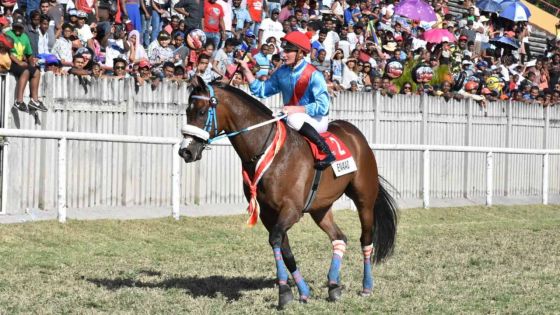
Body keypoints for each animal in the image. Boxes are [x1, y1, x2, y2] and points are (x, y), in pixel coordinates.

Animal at [179, 76, 398, 308]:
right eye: (187, 111)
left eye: (202, 112)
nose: (185, 151)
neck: (269, 152)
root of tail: (355, 133)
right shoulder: (268, 213)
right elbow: (284, 250)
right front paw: (302, 292)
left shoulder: (291, 210)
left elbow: (276, 241)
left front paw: (284, 292)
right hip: (320, 208)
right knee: (339, 238)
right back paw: (333, 285)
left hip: (364, 200)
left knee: (365, 239)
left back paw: (366, 286)